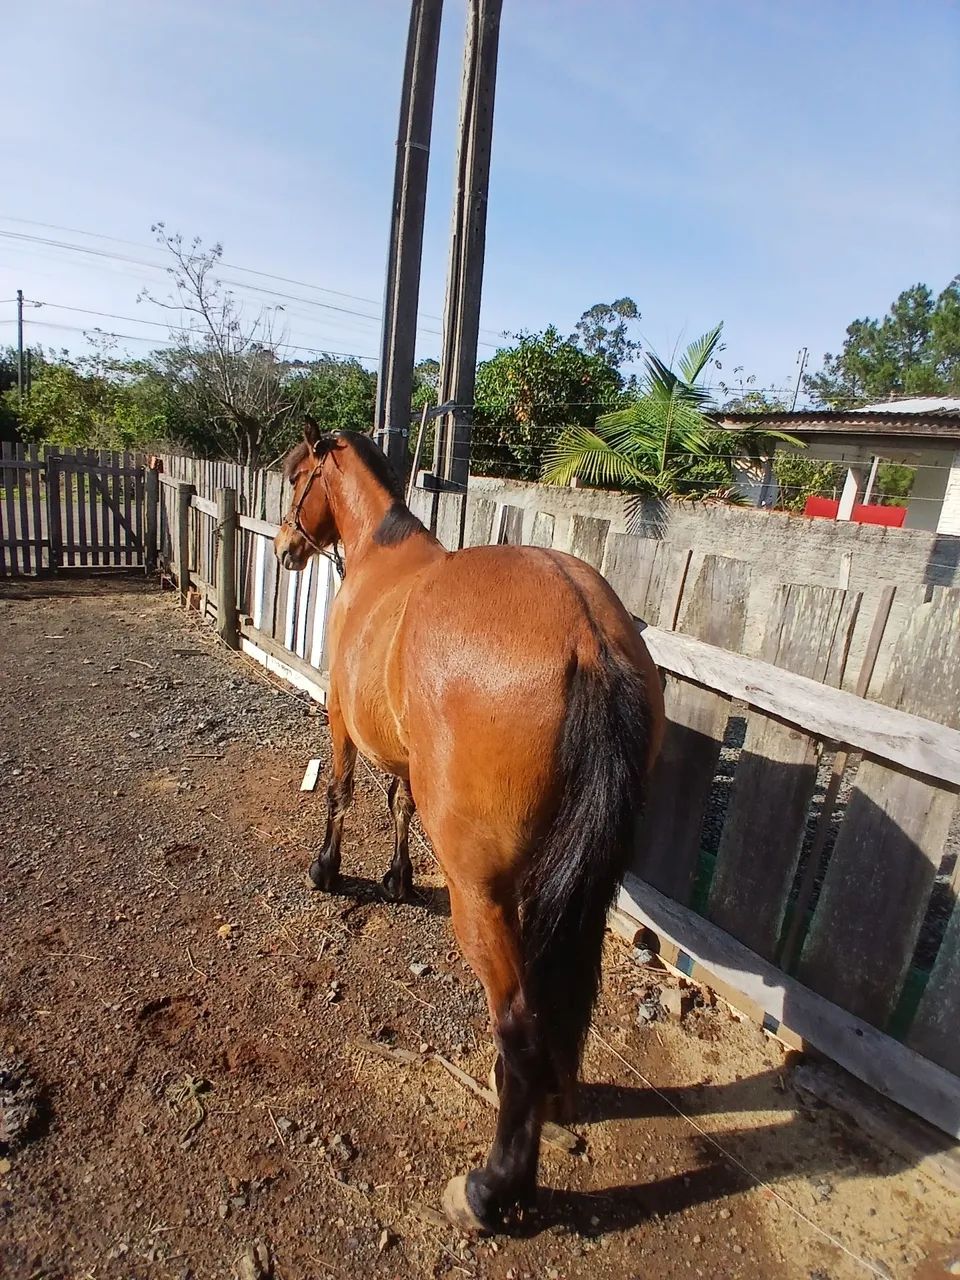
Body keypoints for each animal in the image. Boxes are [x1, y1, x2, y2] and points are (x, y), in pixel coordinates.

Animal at [274, 423, 665, 1233]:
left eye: (296, 476)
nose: (287, 547)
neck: (382, 556)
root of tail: (588, 637)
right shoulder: (406, 756)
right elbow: (399, 805)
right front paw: (395, 877)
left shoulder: (340, 715)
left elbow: (343, 793)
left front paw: (327, 868)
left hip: (482, 894)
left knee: (519, 1022)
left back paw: (494, 1186)